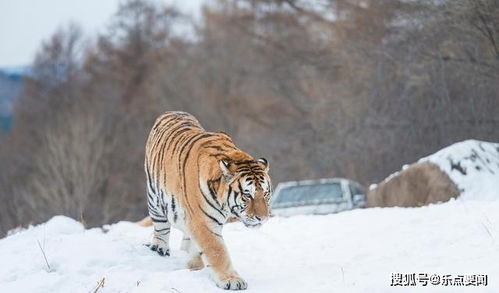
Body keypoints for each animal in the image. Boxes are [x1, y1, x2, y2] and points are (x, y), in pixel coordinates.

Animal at [143, 110, 274, 288]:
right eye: (247, 195)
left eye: (266, 194)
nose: (263, 218)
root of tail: (173, 111)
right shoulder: (203, 222)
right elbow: (217, 251)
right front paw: (232, 280)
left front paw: (194, 265)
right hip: (154, 197)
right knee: (161, 226)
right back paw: (159, 247)